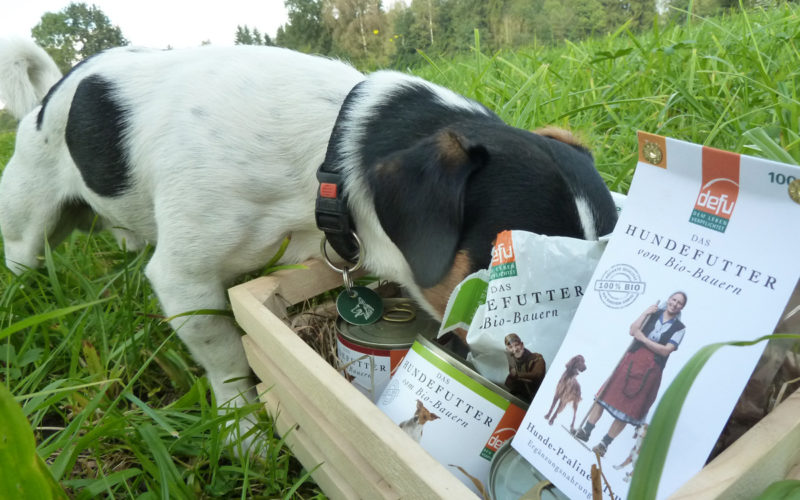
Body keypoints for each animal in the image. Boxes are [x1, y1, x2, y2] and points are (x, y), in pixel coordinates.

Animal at [0, 38, 620, 450]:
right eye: (509, 273)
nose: (547, 389)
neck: (330, 150)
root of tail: (53, 91)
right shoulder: (184, 281)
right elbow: (228, 360)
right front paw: (245, 434)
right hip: (27, 221)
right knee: (24, 258)